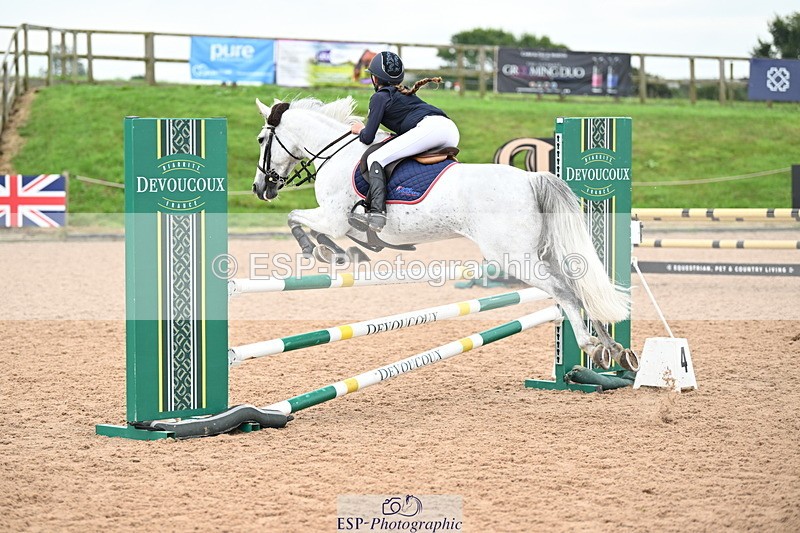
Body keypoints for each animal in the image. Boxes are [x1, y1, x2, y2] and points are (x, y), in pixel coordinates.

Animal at [251, 96, 638, 372]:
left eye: (260, 139)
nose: (259, 188)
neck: (336, 154)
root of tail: (531, 178)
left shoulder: (334, 219)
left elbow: (295, 218)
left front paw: (320, 250)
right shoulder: (336, 220)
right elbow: (305, 221)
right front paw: (335, 250)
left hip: (514, 258)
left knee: (564, 291)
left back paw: (591, 346)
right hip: (542, 252)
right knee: (579, 286)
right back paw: (614, 350)